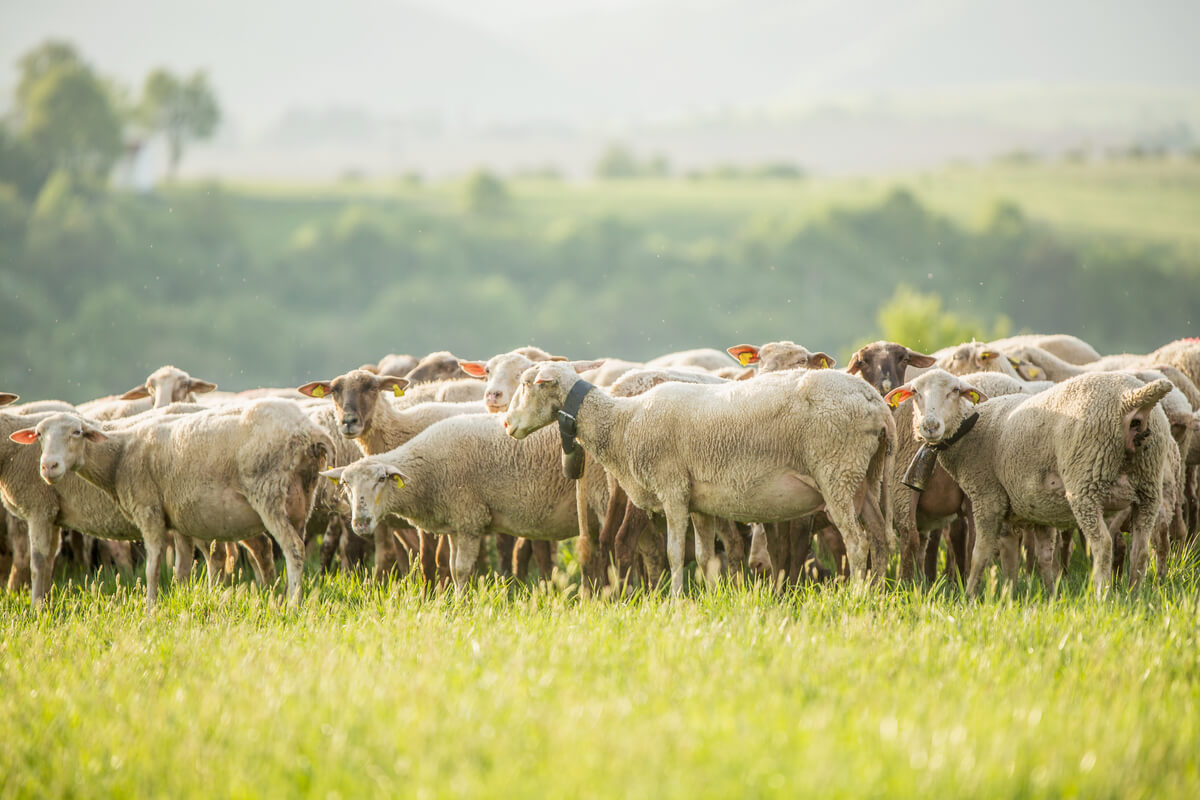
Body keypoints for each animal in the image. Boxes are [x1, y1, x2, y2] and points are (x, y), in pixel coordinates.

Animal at [12, 399, 331, 607]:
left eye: (76, 432)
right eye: (38, 435)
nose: (49, 466)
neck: (120, 456)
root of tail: (310, 432)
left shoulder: (149, 511)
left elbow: (152, 567)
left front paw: (150, 608)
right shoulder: (178, 520)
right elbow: (182, 567)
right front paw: (184, 599)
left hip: (269, 493)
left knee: (293, 549)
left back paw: (293, 605)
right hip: (301, 499)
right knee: (298, 547)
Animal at [320, 414, 611, 589]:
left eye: (381, 479)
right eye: (345, 484)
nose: (360, 522)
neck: (427, 470)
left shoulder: (470, 519)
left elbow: (460, 569)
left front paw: (461, 605)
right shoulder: (455, 524)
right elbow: (450, 565)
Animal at [503, 362, 895, 594]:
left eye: (526, 384)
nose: (506, 424)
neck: (624, 423)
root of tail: (875, 402)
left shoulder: (672, 488)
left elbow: (675, 553)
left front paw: (676, 603)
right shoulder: (698, 502)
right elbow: (706, 557)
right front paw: (711, 600)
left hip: (836, 471)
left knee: (857, 542)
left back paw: (856, 597)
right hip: (865, 477)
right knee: (881, 538)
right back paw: (876, 597)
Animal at [884, 369, 1171, 596]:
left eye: (955, 391)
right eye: (915, 392)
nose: (930, 426)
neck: (971, 430)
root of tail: (1132, 397)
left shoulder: (987, 497)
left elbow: (979, 553)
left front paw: (970, 597)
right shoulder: (1030, 511)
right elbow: (1025, 558)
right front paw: (1026, 596)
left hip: (1086, 481)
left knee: (1103, 545)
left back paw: (1102, 598)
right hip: (1148, 485)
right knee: (1141, 550)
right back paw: (1134, 596)